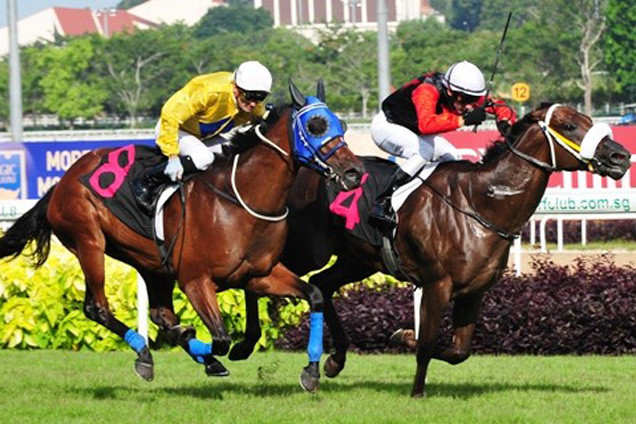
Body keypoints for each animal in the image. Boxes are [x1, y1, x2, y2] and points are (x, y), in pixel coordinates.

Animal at [0, 81, 362, 392]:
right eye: (316, 125)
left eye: (342, 125)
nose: (354, 172)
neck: (241, 199)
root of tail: (62, 181)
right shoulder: (195, 280)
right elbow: (220, 338)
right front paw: (208, 344)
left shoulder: (260, 274)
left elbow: (315, 295)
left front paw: (313, 369)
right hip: (89, 242)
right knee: (97, 307)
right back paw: (149, 351)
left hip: (150, 262)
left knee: (160, 314)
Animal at [237, 102, 632, 398]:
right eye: (569, 124)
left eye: (589, 120)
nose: (620, 155)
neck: (481, 203)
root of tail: (302, 170)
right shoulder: (436, 284)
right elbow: (427, 342)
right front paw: (416, 390)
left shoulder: (474, 291)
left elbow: (458, 351)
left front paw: (401, 336)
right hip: (303, 248)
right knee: (255, 274)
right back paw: (246, 343)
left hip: (358, 259)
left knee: (322, 284)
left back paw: (335, 359)